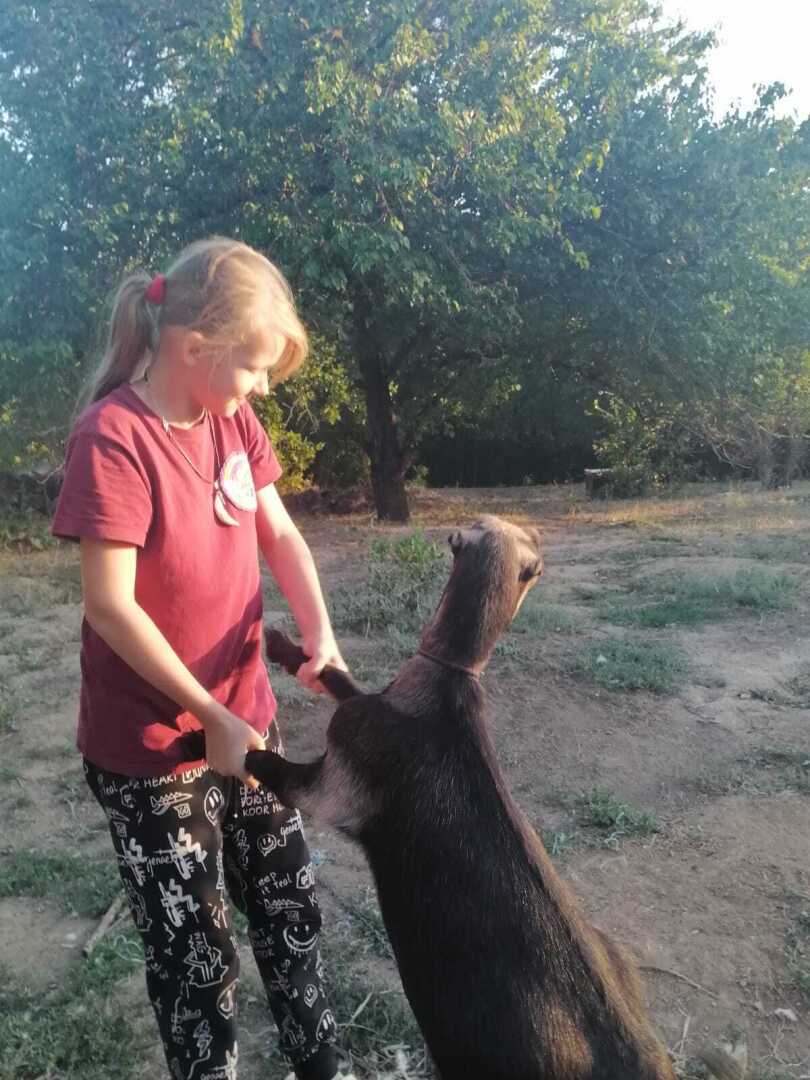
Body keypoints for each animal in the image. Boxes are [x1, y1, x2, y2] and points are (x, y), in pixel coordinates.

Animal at [246, 516, 677, 1080]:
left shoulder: (338, 781)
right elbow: (335, 676)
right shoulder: (375, 700)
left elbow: (277, 769)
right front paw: (284, 648)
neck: (448, 677)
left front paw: (219, 743)